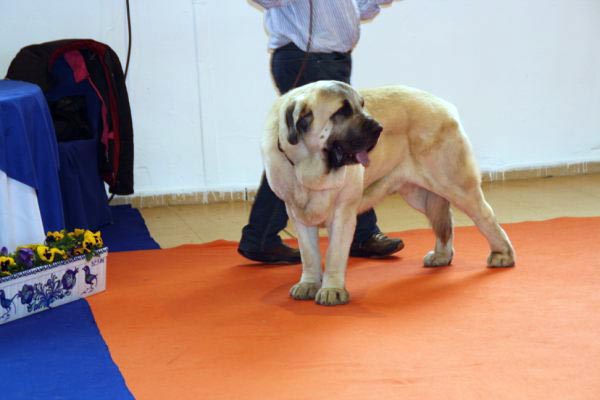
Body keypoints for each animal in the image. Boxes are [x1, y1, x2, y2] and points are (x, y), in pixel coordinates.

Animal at [262, 81, 516, 306]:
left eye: (362, 105)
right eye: (341, 112)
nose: (378, 128)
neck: (307, 167)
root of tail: (443, 105)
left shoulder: (343, 213)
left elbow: (334, 254)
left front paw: (332, 290)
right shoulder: (299, 215)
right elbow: (309, 255)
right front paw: (309, 284)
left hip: (455, 184)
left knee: (485, 215)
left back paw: (502, 254)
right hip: (421, 195)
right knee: (445, 221)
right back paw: (442, 256)